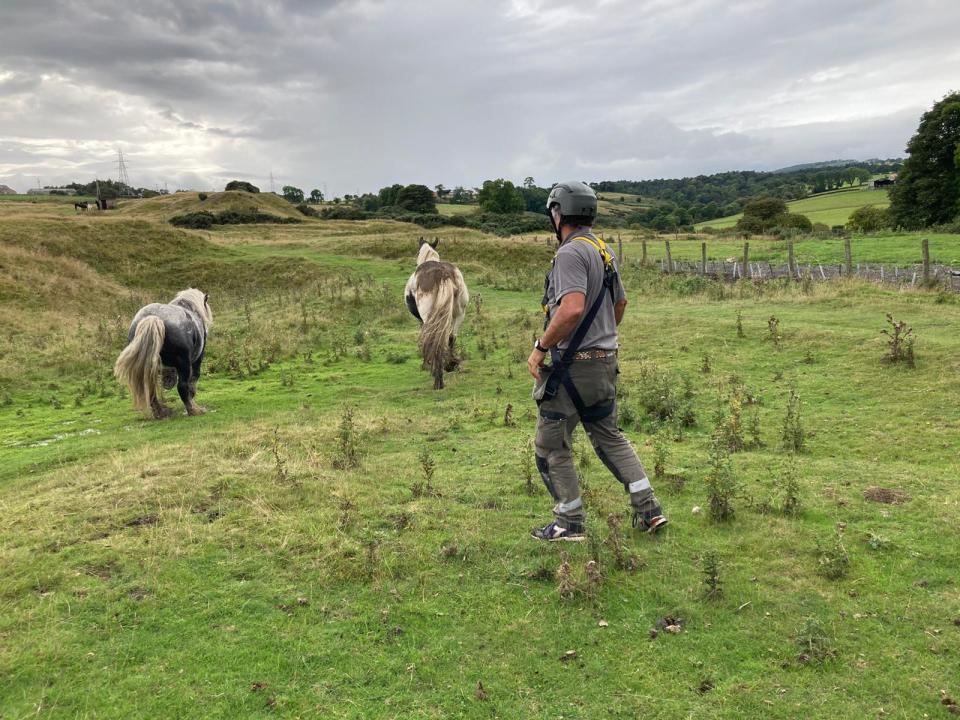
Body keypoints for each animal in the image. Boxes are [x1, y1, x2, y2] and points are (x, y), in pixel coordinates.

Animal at [114, 286, 212, 420]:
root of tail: (154, 318)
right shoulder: (197, 359)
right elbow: (194, 378)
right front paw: (192, 396)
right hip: (184, 364)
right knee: (182, 386)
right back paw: (194, 410)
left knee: (150, 389)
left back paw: (160, 413)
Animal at [402, 239, 468, 390]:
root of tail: (443, 274)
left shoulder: (423, 321)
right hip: (459, 315)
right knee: (451, 337)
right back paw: (450, 365)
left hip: (431, 318)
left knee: (435, 340)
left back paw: (438, 380)